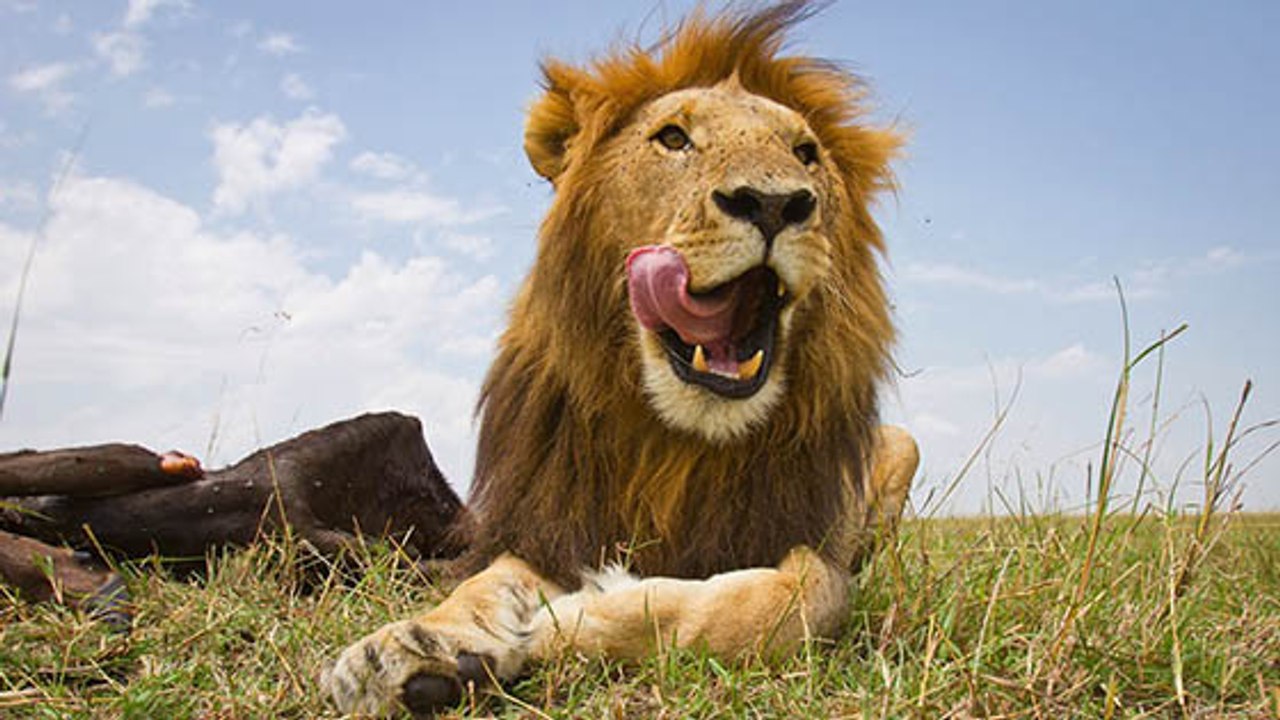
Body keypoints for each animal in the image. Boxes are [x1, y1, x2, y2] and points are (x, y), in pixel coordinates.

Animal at [324, 3, 919, 715]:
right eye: (673, 138)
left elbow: (780, 605)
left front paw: (571, 619)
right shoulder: (552, 528)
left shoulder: (813, 551)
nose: (776, 202)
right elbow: (482, 585)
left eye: (806, 153)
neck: (680, 444)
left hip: (902, 446)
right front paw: (413, 650)